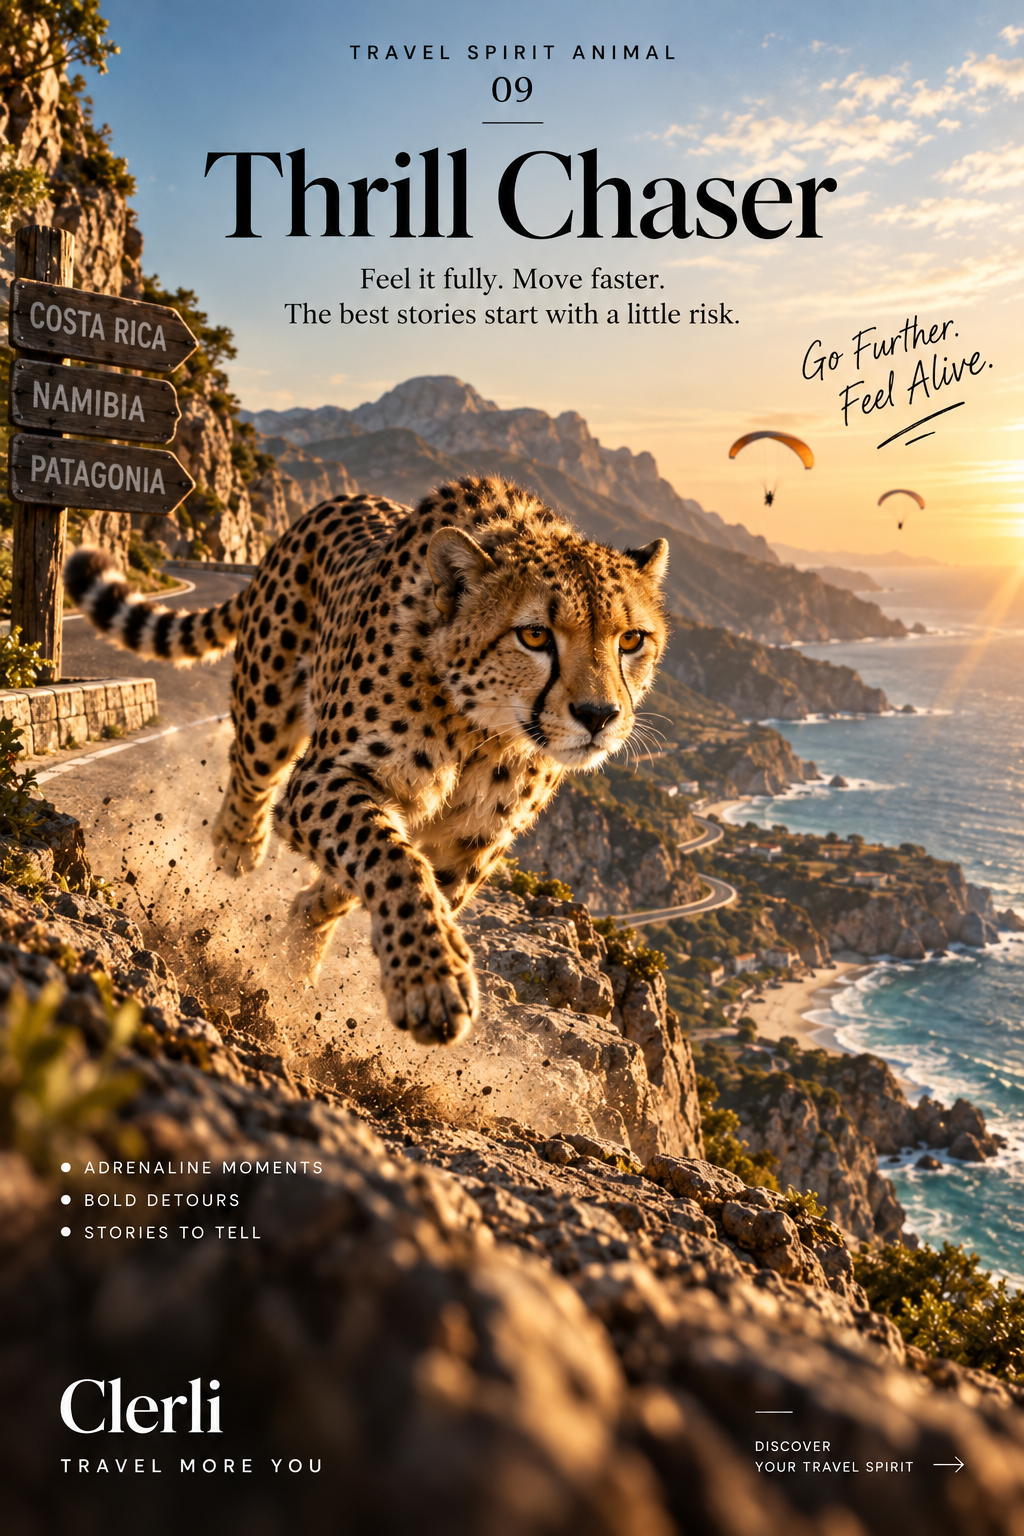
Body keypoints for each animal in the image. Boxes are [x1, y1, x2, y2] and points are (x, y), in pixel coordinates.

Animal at [66, 475, 669, 1046]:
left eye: (631, 640)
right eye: (536, 635)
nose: (599, 715)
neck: (482, 731)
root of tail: (334, 502)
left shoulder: (470, 842)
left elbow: (381, 876)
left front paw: (307, 939)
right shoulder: (322, 778)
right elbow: (393, 859)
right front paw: (429, 979)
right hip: (268, 708)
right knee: (250, 777)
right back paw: (237, 847)